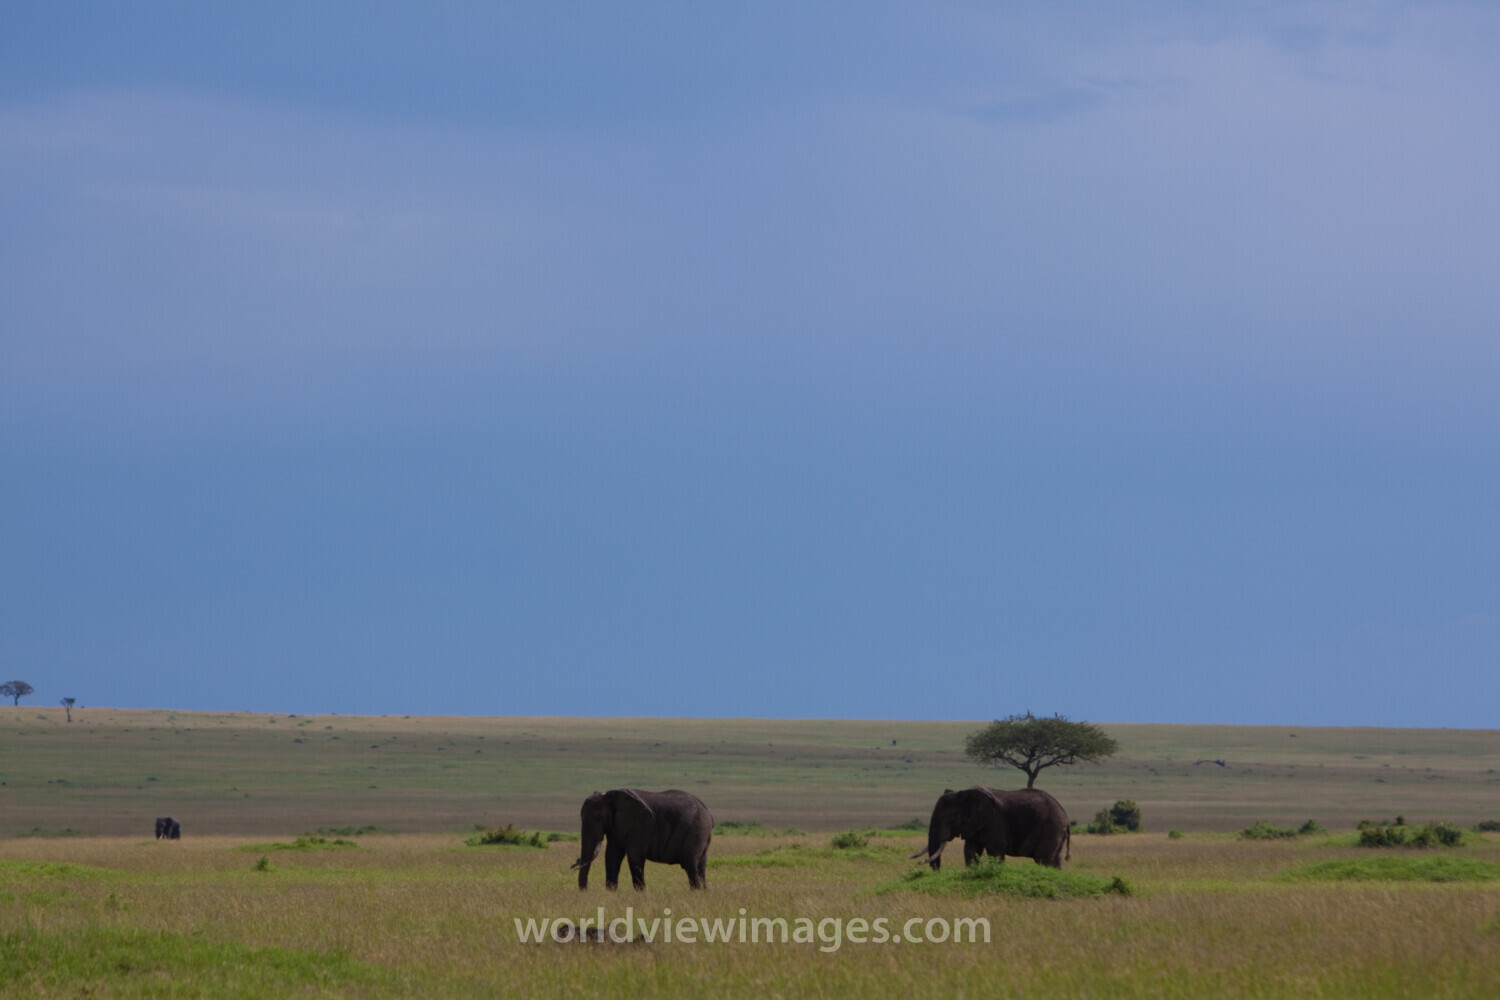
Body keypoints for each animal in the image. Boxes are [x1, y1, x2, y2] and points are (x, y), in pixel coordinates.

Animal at [571, 788, 713, 890]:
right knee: (701, 866)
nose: (574, 864)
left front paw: (640, 894)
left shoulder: (640, 824)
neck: (608, 796)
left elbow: (634, 857)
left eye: (598, 818)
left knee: (691, 865)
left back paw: (696, 892)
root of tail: (708, 811)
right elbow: (612, 857)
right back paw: (704, 892)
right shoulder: (616, 827)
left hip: (696, 830)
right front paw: (611, 893)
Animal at [910, 786, 1069, 870]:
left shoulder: (995, 820)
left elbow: (995, 851)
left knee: (1044, 860)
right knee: (1056, 860)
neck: (965, 794)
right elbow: (970, 851)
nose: (917, 862)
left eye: (951, 819)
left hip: (1050, 827)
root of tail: (1065, 816)